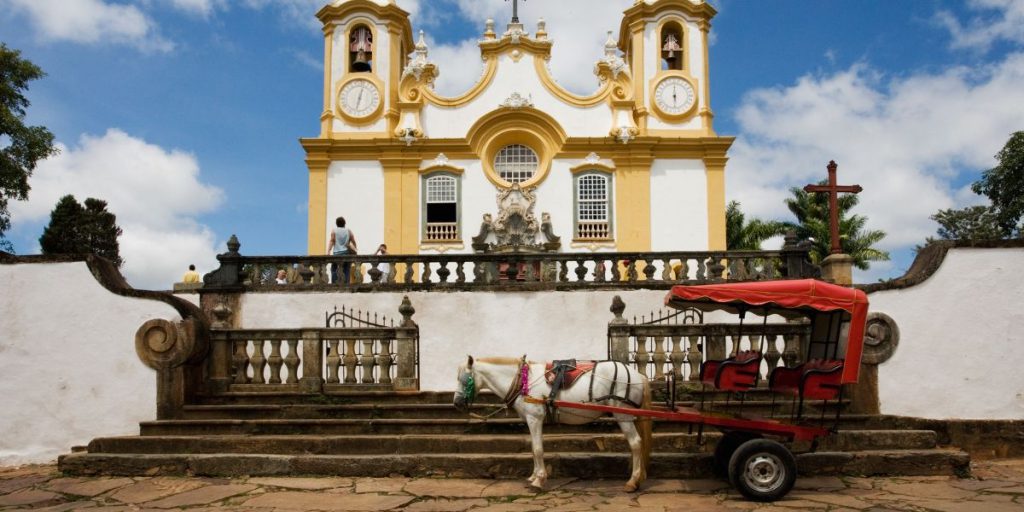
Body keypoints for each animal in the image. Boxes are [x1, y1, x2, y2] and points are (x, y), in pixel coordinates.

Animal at [452, 356, 651, 491]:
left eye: (463, 379)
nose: (457, 403)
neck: (523, 381)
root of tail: (638, 374)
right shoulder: (531, 420)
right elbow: (533, 449)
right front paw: (533, 476)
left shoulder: (535, 419)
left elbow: (538, 449)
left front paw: (539, 480)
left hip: (623, 416)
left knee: (635, 443)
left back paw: (632, 481)